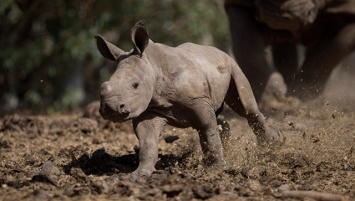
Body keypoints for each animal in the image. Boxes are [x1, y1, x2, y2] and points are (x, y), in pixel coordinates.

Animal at [95, 20, 280, 176]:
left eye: (135, 85)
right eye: (103, 86)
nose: (111, 108)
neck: (153, 66)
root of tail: (218, 51)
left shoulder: (196, 99)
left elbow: (207, 130)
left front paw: (213, 170)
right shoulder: (149, 108)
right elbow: (147, 139)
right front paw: (141, 173)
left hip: (232, 65)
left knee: (246, 108)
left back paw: (272, 143)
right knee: (217, 115)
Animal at [225, 0, 355, 101]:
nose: (281, 15)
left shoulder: (348, 11)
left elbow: (333, 51)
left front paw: (303, 95)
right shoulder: (238, 3)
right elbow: (246, 45)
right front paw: (271, 99)